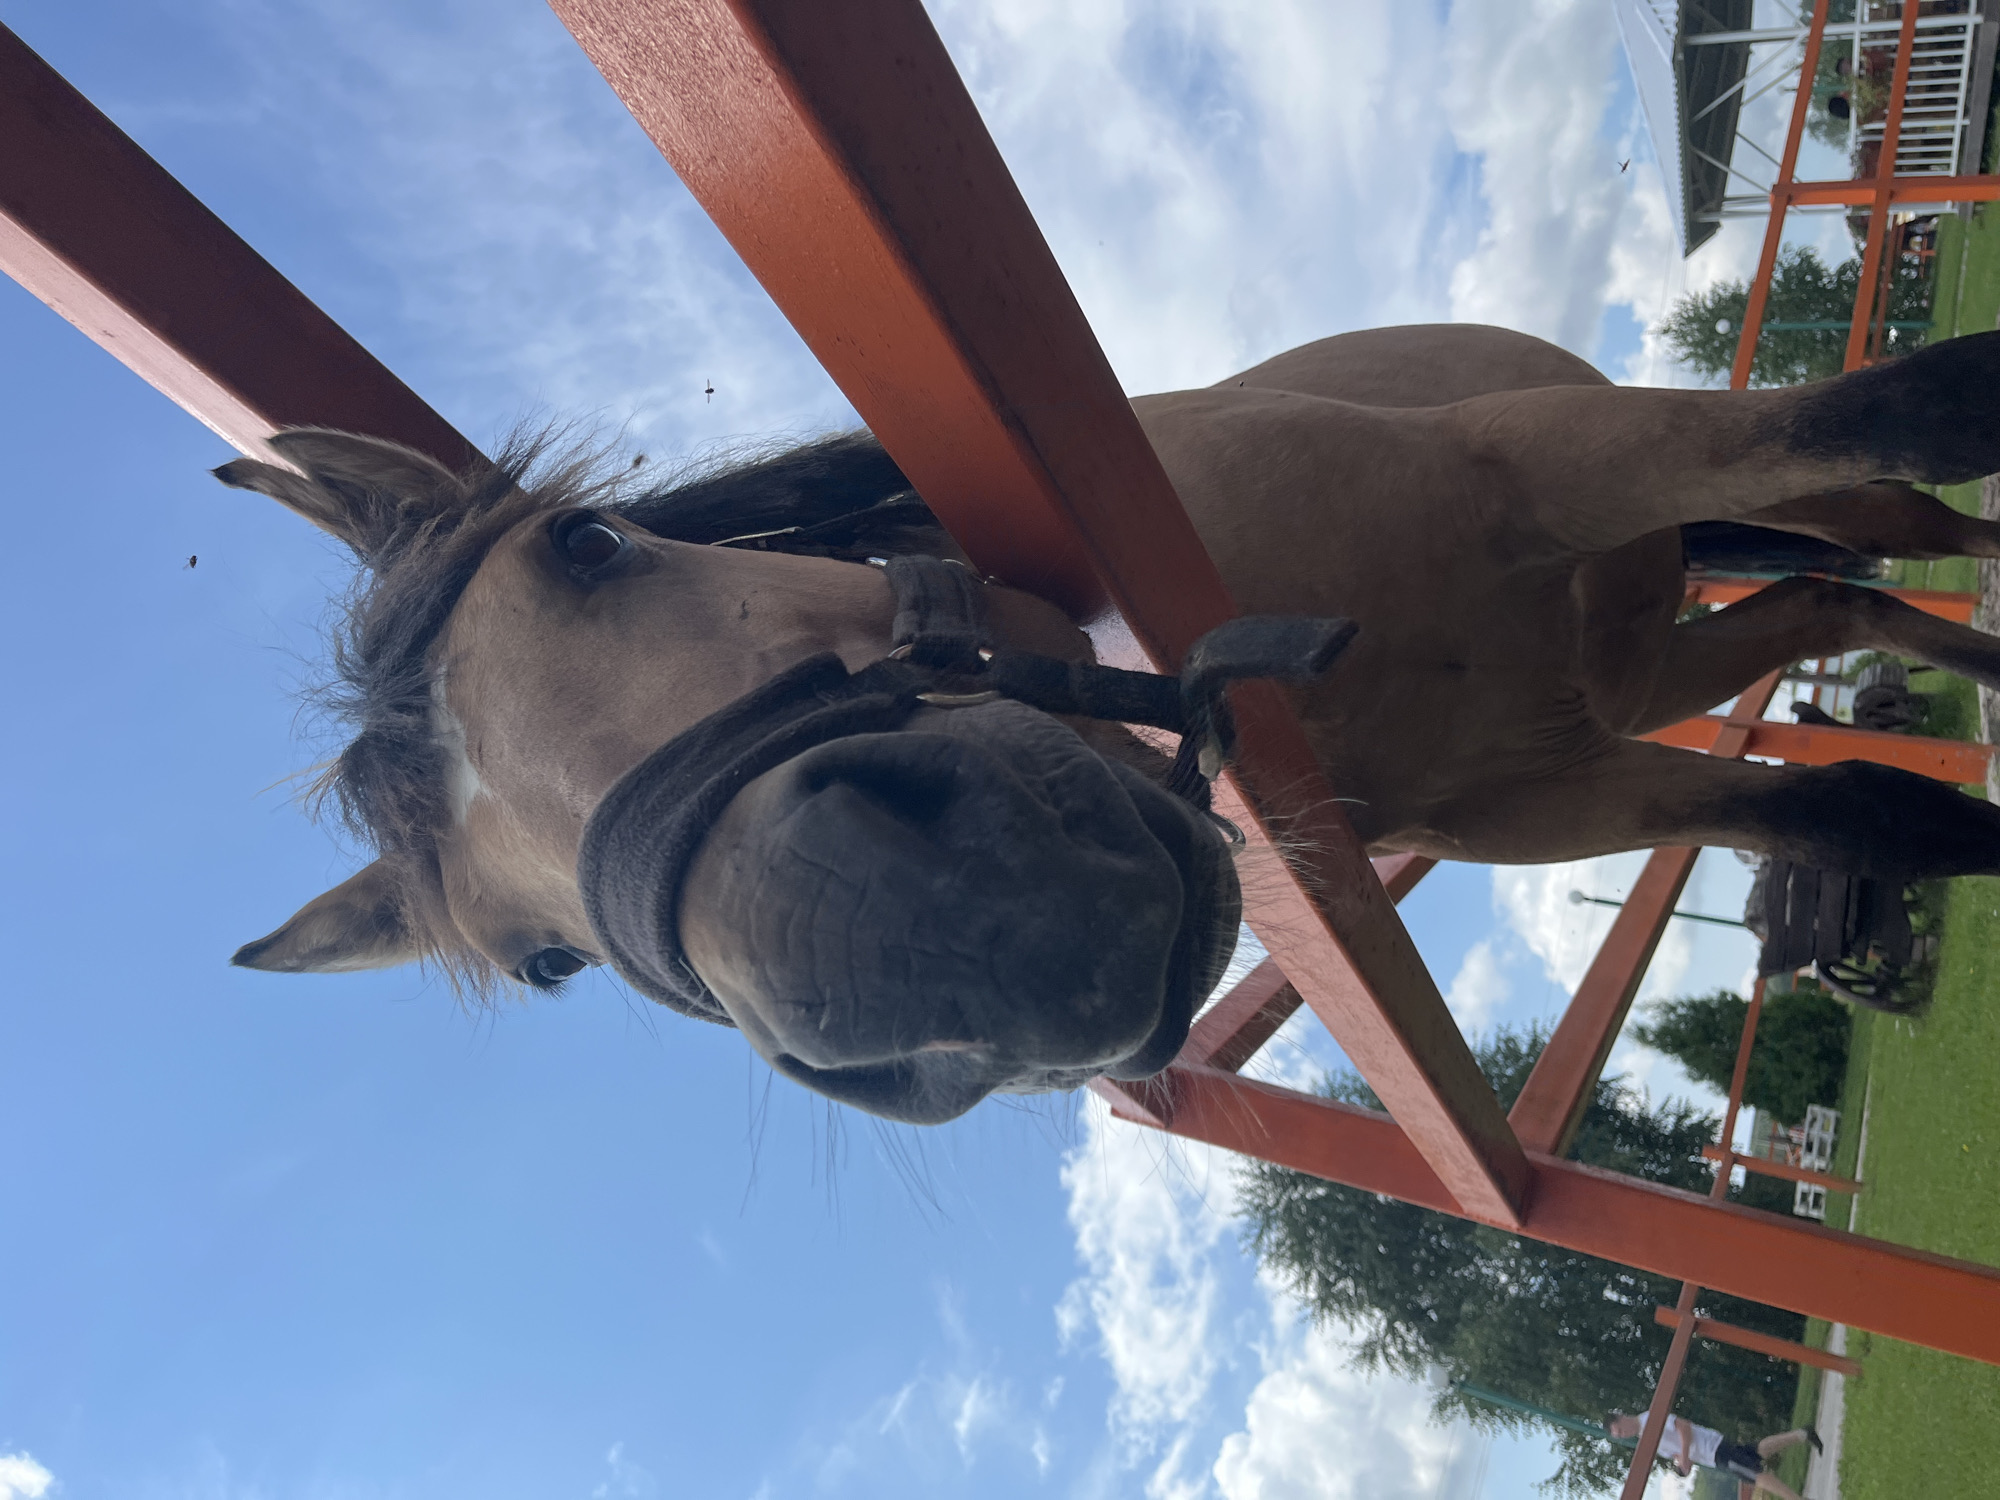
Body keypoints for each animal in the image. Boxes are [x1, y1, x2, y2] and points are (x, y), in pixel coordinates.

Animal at [215, 322, 2000, 1123]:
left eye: (590, 547)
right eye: (547, 963)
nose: (929, 927)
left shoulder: (1548, 464)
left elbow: (1924, 403)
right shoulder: (1566, 789)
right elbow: (1874, 811)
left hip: (1711, 498)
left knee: (1911, 504)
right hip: (1661, 661)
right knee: (1841, 608)